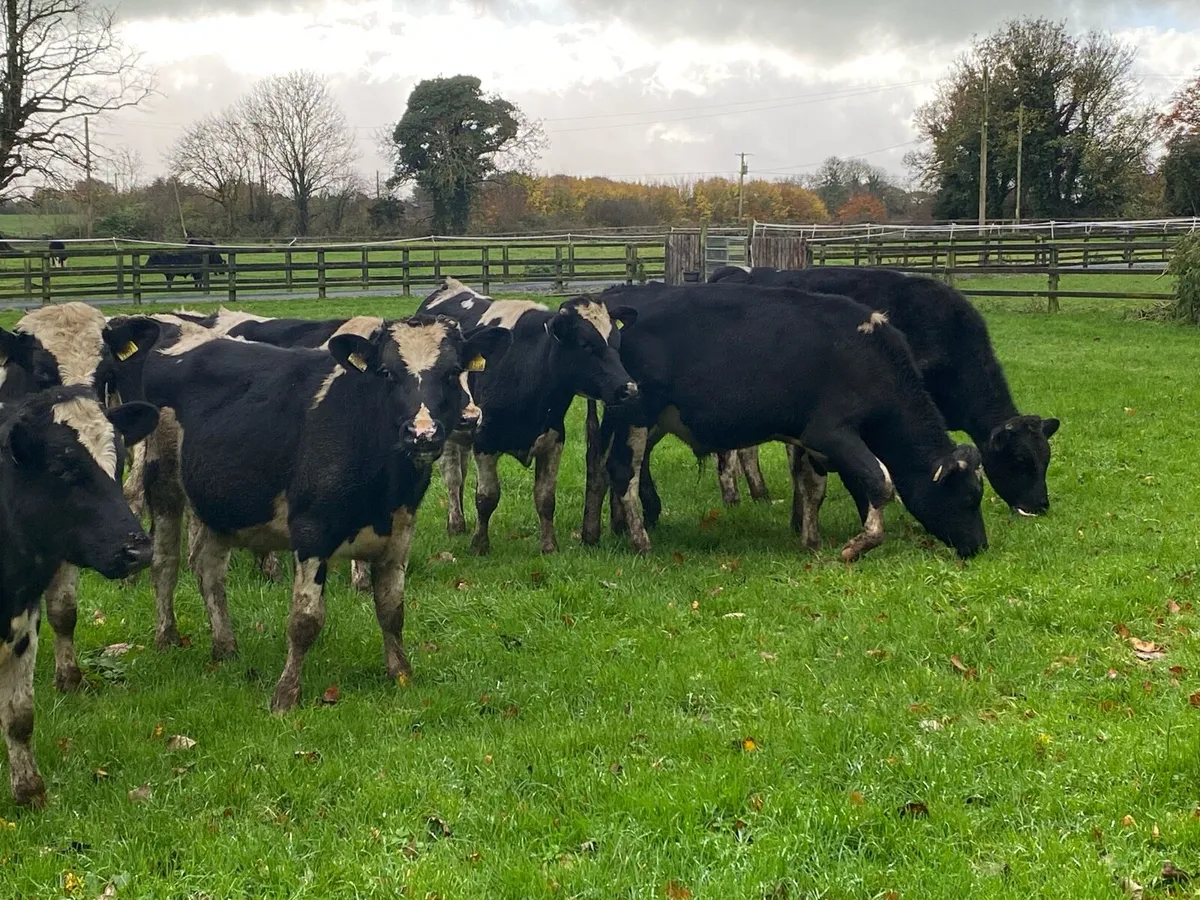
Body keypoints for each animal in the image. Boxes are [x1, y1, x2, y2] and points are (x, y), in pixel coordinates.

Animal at [0, 385, 158, 806]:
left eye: (118, 465)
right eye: (63, 468)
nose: (138, 550)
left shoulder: (24, 623)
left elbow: (20, 716)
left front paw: (29, 791)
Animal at [103, 312, 511, 711]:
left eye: (452, 371)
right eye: (387, 372)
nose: (422, 433)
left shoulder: (399, 532)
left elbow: (392, 609)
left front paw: (400, 673)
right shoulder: (311, 531)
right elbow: (305, 619)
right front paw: (286, 694)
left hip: (216, 503)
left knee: (209, 571)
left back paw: (225, 647)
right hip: (164, 485)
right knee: (166, 563)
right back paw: (167, 636)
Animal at [413, 277, 639, 554]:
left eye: (617, 343)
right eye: (586, 345)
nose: (628, 389)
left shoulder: (553, 439)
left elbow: (545, 497)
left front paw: (549, 545)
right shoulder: (485, 442)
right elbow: (487, 497)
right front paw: (480, 544)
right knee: (452, 476)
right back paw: (455, 524)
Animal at [586, 284, 989, 561]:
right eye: (969, 497)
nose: (980, 546)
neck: (870, 359)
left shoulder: (809, 439)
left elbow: (813, 488)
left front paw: (811, 540)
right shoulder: (832, 432)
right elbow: (880, 482)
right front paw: (858, 545)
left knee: (606, 468)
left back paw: (607, 530)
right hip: (637, 414)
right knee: (623, 472)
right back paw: (639, 540)